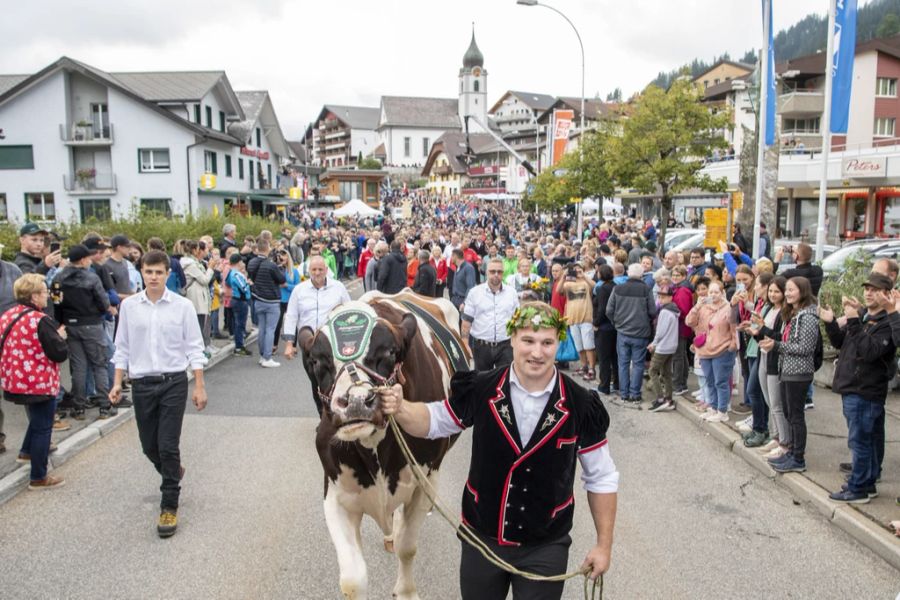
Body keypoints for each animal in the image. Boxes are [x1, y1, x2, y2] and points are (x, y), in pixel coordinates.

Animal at [300, 292, 472, 600]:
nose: (356, 401)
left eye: (389, 353)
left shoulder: (425, 482)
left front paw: (406, 592)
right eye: (318, 361)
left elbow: (408, 547)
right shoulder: (335, 494)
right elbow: (352, 579)